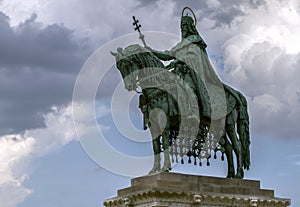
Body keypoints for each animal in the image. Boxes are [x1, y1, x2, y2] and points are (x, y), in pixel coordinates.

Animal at [111, 43, 250, 178]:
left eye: (128, 63)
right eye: (119, 67)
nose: (129, 86)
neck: (158, 85)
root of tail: (235, 92)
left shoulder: (163, 119)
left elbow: (165, 142)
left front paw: (165, 167)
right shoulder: (153, 123)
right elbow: (155, 147)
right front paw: (154, 170)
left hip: (228, 123)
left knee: (237, 146)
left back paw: (238, 174)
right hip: (216, 125)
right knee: (228, 147)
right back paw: (230, 175)